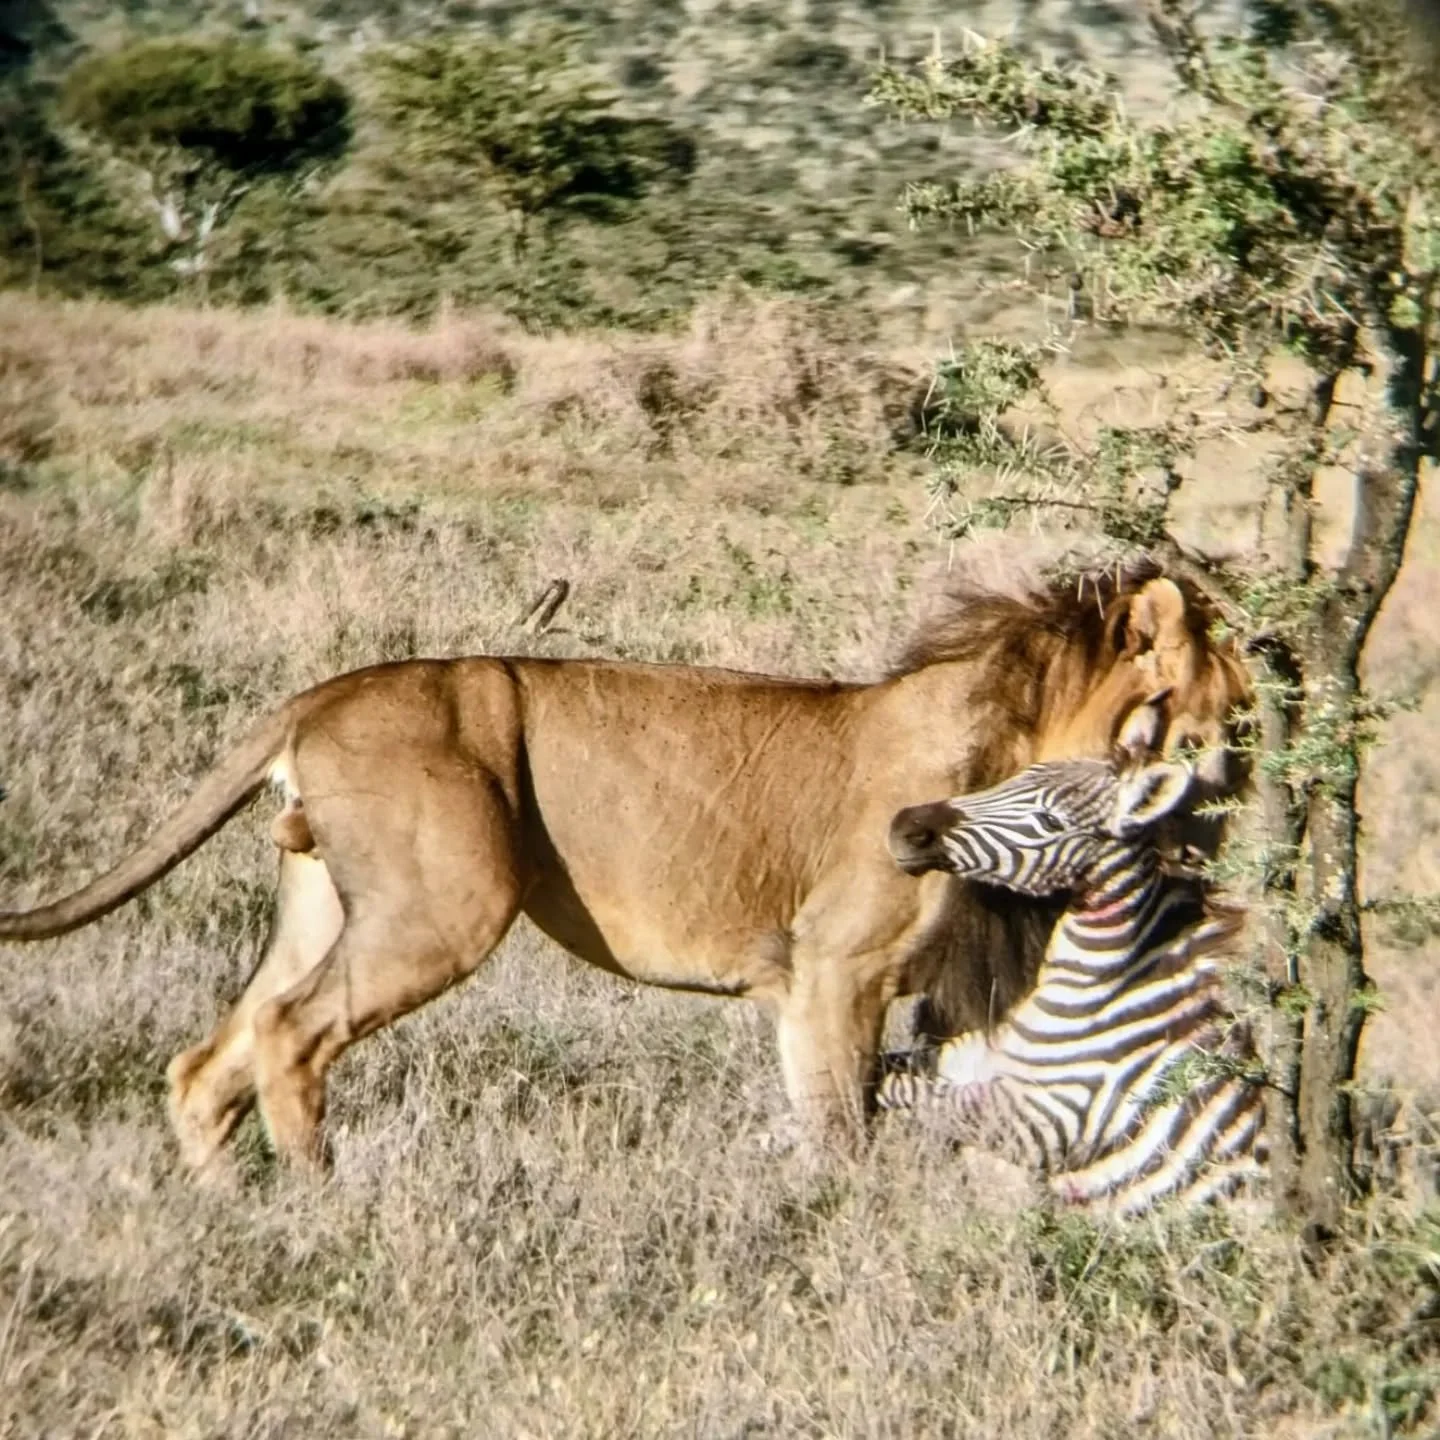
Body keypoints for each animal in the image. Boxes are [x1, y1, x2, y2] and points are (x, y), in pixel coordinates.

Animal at [0, 555, 1249, 1173]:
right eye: (1221, 699)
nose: (1243, 772)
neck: (1018, 744)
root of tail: (322, 692)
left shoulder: (905, 992)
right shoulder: (831, 973)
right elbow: (843, 1138)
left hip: (322, 904)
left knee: (212, 1055)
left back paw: (233, 1213)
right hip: (444, 904)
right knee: (290, 1038)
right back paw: (321, 1206)